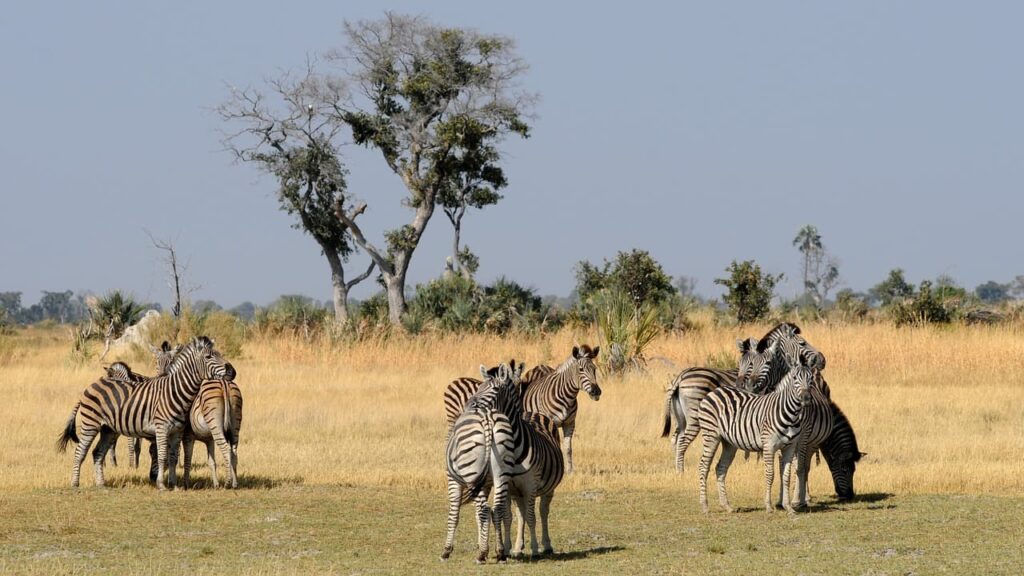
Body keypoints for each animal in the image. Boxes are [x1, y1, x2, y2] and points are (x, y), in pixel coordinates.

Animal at [56, 336, 235, 490]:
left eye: (220, 355)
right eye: (208, 357)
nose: (232, 372)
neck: (175, 392)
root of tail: (93, 384)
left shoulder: (176, 431)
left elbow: (172, 457)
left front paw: (174, 485)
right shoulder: (161, 428)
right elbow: (162, 455)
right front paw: (161, 485)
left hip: (108, 429)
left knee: (97, 453)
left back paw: (101, 484)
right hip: (90, 424)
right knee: (80, 452)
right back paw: (75, 484)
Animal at [443, 345, 600, 473]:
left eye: (594, 369)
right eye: (581, 370)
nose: (596, 391)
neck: (566, 396)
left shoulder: (570, 423)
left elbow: (568, 448)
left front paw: (570, 471)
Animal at [662, 323, 824, 472]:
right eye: (802, 343)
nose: (822, 359)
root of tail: (680, 377)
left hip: (680, 418)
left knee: (676, 439)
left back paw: (677, 469)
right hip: (695, 416)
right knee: (682, 441)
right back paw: (681, 472)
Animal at [696, 345, 819, 515]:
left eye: (811, 379)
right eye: (795, 378)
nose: (806, 399)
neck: (791, 414)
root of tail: (714, 391)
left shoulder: (789, 447)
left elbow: (786, 476)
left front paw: (788, 507)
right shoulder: (769, 446)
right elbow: (770, 474)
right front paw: (768, 506)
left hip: (729, 443)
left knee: (720, 468)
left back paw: (727, 506)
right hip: (711, 436)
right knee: (704, 467)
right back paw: (705, 507)